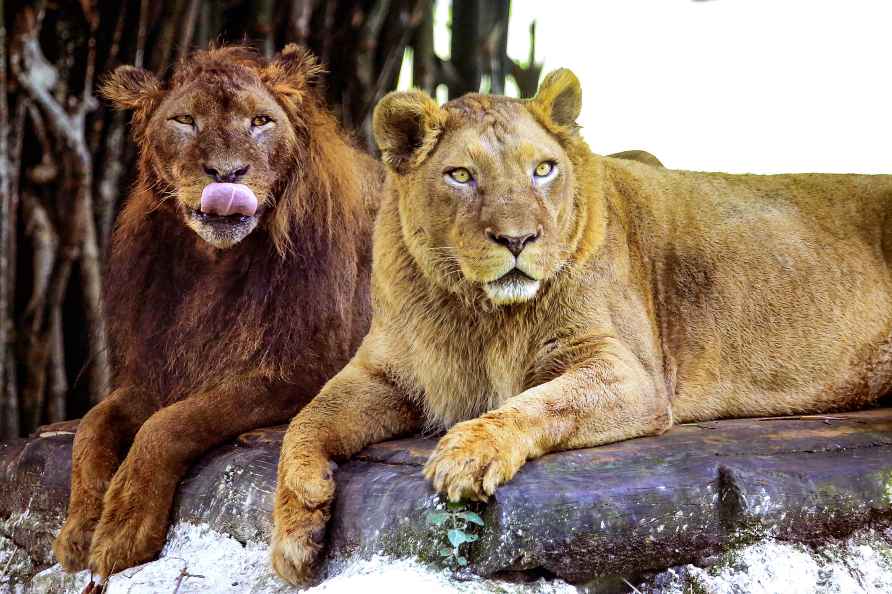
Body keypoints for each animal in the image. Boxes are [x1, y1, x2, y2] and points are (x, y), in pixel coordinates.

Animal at [51, 46, 380, 580]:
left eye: (260, 121)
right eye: (185, 120)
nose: (227, 174)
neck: (214, 265)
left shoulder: (302, 373)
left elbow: (168, 426)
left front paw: (123, 529)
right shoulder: (162, 370)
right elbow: (92, 428)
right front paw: (79, 528)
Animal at [266, 67, 892, 580]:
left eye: (543, 170)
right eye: (461, 175)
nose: (518, 239)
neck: (479, 313)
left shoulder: (632, 374)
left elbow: (542, 403)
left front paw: (469, 452)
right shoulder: (384, 373)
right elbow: (305, 419)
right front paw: (296, 530)